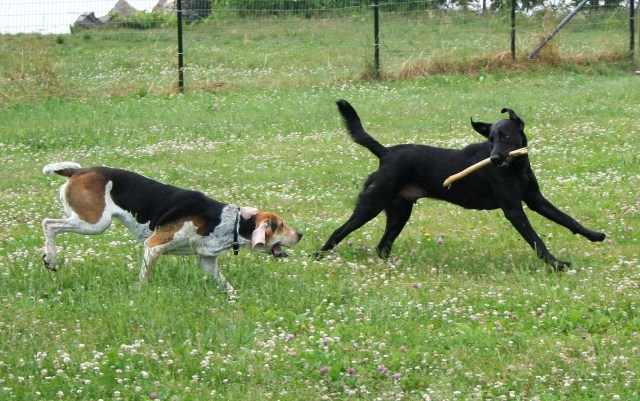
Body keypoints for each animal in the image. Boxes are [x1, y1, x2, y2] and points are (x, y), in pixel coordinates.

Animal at [42, 162, 302, 294]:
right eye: (281, 225)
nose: (300, 234)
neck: (228, 222)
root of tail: (77, 170)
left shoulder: (207, 262)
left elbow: (227, 286)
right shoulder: (154, 246)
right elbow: (145, 277)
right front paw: (139, 293)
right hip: (95, 223)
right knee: (49, 224)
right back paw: (50, 258)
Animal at [318, 99, 608, 268]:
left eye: (505, 136)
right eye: (490, 139)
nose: (494, 158)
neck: (516, 168)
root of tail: (386, 152)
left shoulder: (536, 200)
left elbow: (567, 219)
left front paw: (594, 235)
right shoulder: (514, 209)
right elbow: (536, 240)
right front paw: (556, 264)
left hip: (399, 211)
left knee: (382, 246)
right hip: (371, 204)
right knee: (338, 232)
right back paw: (317, 258)